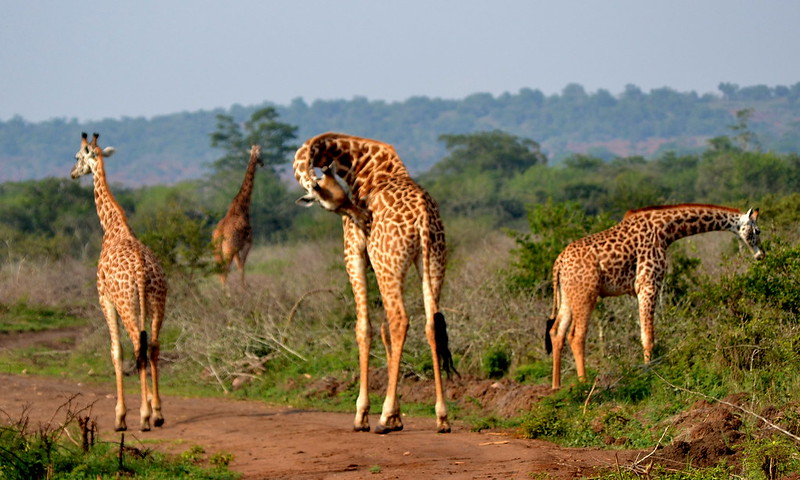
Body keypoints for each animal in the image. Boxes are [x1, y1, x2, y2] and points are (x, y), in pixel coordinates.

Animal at [70, 132, 167, 432]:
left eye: (77, 157)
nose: (72, 173)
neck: (113, 227)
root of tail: (143, 274)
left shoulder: (105, 299)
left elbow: (116, 351)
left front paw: (120, 417)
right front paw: (149, 410)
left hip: (127, 305)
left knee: (138, 345)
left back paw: (144, 417)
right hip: (158, 303)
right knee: (153, 346)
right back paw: (157, 413)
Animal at [212, 144, 262, 286]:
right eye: (261, 154)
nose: (262, 163)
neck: (241, 207)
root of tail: (220, 235)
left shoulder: (238, 248)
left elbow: (240, 266)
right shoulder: (247, 244)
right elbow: (242, 267)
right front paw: (243, 288)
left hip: (217, 252)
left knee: (220, 272)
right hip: (229, 250)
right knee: (225, 271)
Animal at [294, 132, 456, 436]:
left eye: (342, 196)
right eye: (328, 202)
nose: (364, 218)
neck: (362, 165)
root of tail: (423, 218)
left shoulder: (354, 255)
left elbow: (364, 328)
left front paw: (364, 415)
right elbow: (383, 330)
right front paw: (398, 418)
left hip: (388, 264)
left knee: (400, 319)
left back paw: (382, 418)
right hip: (432, 261)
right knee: (430, 323)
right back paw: (442, 417)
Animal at [548, 202, 764, 390]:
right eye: (757, 231)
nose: (761, 255)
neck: (666, 231)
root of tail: (558, 263)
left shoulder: (643, 288)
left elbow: (645, 333)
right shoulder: (648, 284)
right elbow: (648, 336)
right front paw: (649, 373)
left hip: (568, 297)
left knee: (556, 332)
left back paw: (556, 386)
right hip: (586, 295)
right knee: (576, 336)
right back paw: (584, 383)